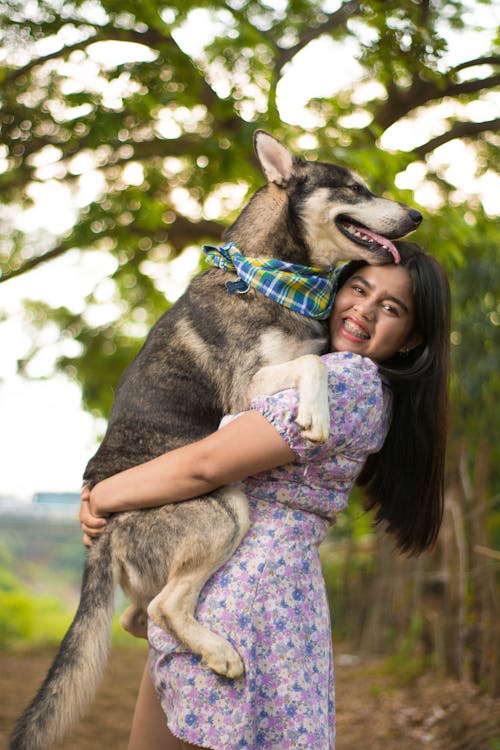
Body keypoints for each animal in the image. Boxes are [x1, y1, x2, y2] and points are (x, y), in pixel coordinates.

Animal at [9, 132, 420, 748]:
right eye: (353, 188)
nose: (417, 216)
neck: (276, 278)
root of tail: (104, 533)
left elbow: (314, 360)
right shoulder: (245, 393)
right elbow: (311, 368)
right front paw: (316, 415)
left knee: (138, 613)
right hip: (226, 510)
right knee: (162, 608)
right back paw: (220, 653)